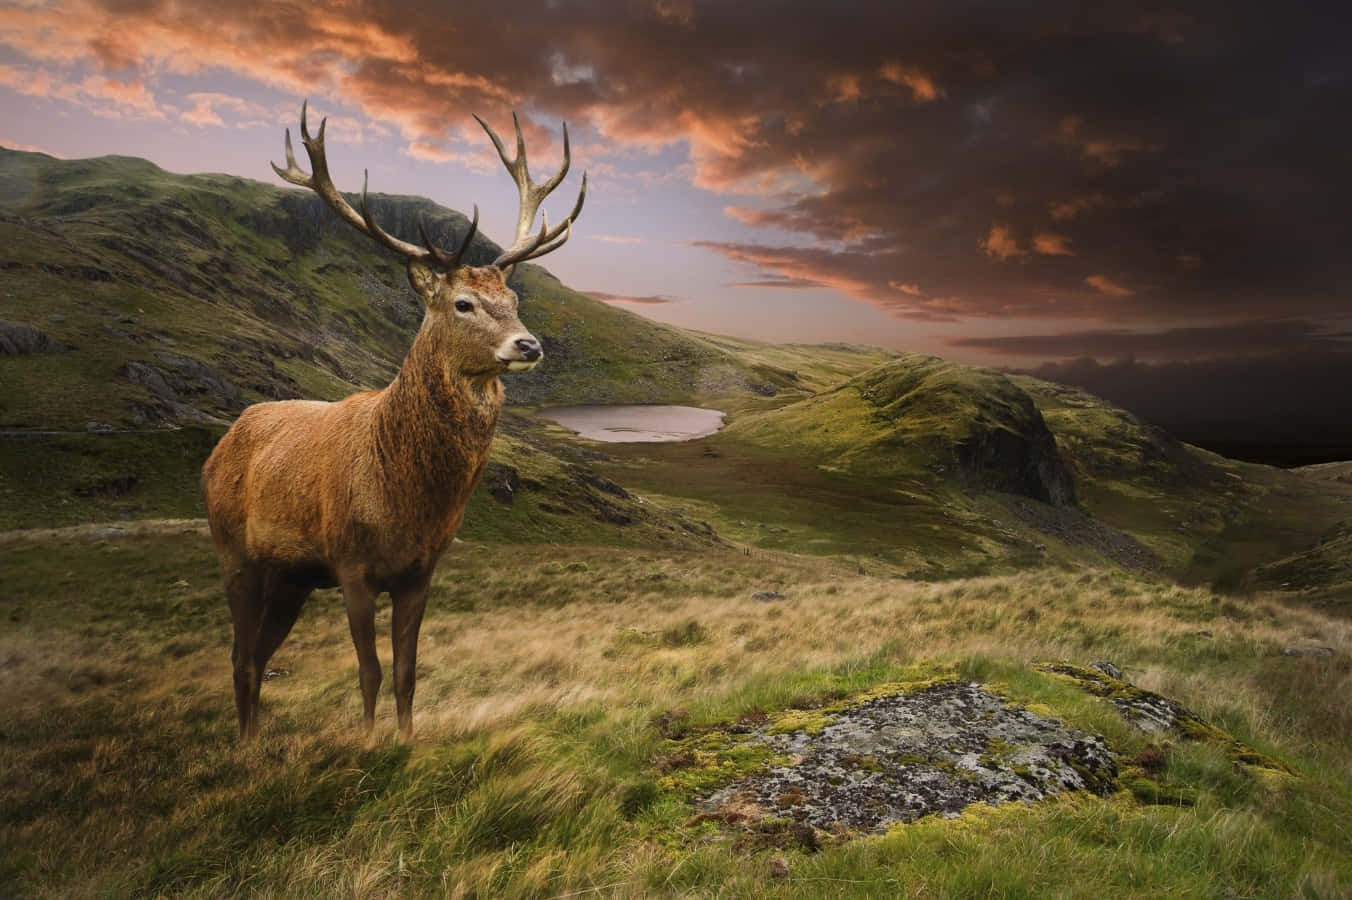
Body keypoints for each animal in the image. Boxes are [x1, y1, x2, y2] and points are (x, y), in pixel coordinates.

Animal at [201, 102, 585, 741]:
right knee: (239, 658)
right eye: (462, 303)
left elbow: (408, 670)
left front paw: (406, 741)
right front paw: (368, 742)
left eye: (512, 298)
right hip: (235, 553)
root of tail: (216, 449)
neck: (403, 497)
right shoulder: (351, 564)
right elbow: (370, 671)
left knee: (256, 654)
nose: (529, 344)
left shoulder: (420, 571)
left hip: (290, 578)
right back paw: (244, 746)